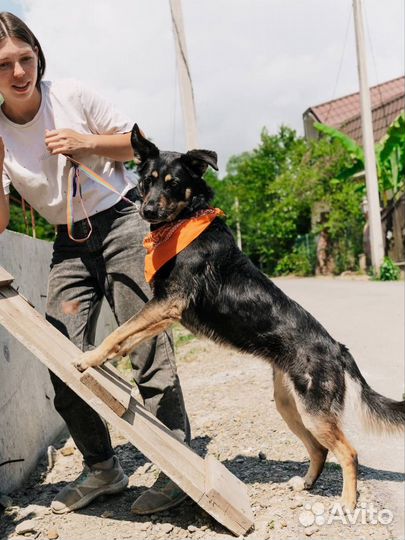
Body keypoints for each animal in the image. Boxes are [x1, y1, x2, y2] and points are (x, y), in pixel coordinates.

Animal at [74, 122, 402, 510]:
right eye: (148, 180)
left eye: (172, 183)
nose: (148, 210)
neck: (186, 220)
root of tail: (338, 348)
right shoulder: (165, 309)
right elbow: (127, 335)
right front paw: (103, 358)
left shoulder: (167, 303)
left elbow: (118, 332)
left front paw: (89, 358)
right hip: (289, 405)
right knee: (320, 449)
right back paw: (306, 484)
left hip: (314, 410)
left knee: (348, 453)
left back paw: (347, 503)